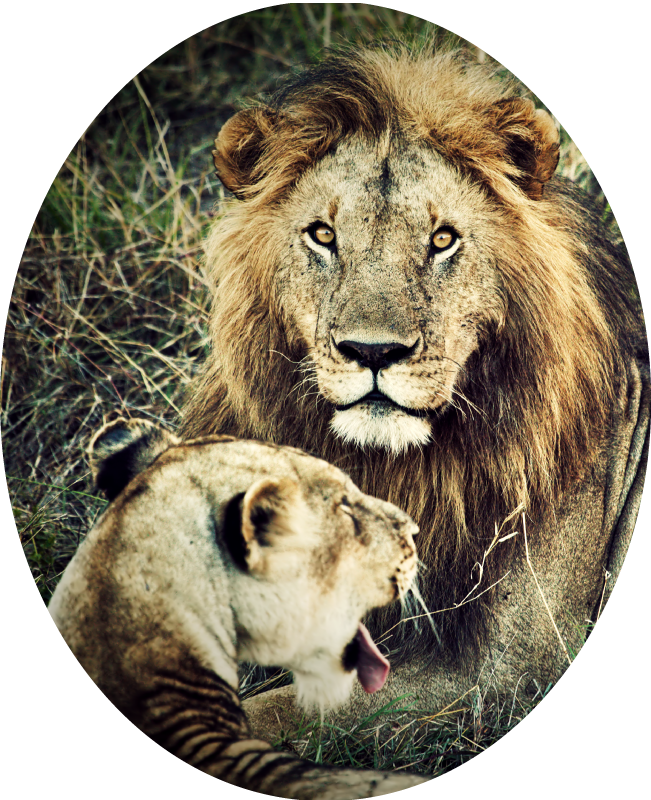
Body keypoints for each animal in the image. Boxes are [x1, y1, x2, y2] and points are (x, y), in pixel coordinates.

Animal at [181, 45, 649, 729]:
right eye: (324, 235)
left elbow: (275, 711)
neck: (392, 469)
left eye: (442, 239)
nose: (373, 352)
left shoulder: (507, 670)